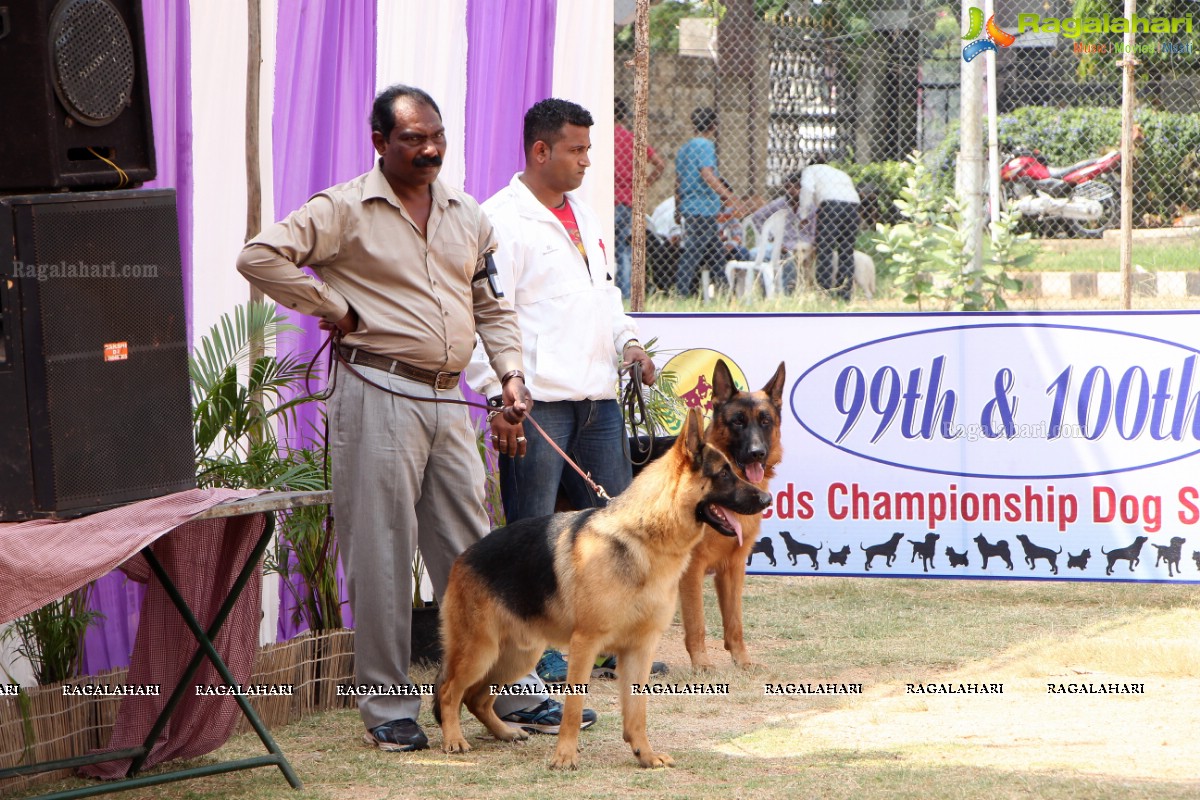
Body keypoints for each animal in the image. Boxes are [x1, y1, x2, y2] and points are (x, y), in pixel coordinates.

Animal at [439, 412, 768, 767]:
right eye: (723, 473)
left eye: (733, 470)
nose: (767, 500)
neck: (645, 539)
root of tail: (464, 556)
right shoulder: (585, 644)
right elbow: (573, 708)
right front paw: (565, 756)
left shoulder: (640, 650)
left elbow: (637, 711)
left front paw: (644, 754)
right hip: (480, 651)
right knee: (450, 692)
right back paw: (454, 739)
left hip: (517, 656)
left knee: (476, 698)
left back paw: (504, 732)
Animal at [676, 362, 787, 671]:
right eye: (737, 421)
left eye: (765, 421)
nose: (757, 453)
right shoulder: (692, 571)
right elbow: (697, 623)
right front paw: (701, 663)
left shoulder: (733, 567)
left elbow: (734, 622)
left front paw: (742, 661)